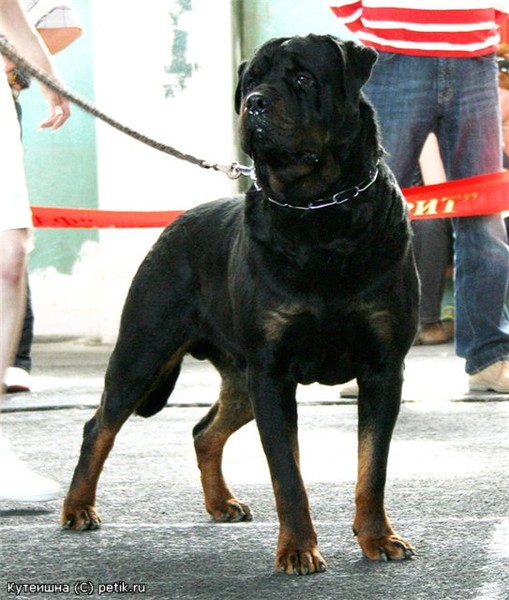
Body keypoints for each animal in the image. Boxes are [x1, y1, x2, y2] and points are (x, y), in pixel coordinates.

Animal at [63, 34, 419, 575]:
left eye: (302, 77)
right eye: (251, 81)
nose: (254, 104)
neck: (319, 213)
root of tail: (172, 225)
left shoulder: (382, 368)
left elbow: (371, 466)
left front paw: (379, 537)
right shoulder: (272, 372)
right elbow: (287, 475)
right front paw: (298, 549)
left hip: (239, 377)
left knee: (204, 431)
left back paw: (221, 502)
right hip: (144, 353)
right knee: (98, 426)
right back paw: (78, 508)